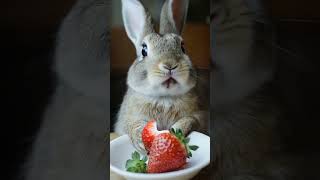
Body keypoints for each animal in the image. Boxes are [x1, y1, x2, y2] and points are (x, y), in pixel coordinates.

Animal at [114, 0, 206, 155]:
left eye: (182, 47)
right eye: (144, 50)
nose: (170, 65)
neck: (164, 98)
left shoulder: (199, 116)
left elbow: (190, 120)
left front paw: (175, 132)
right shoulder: (129, 119)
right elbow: (134, 125)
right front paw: (140, 140)